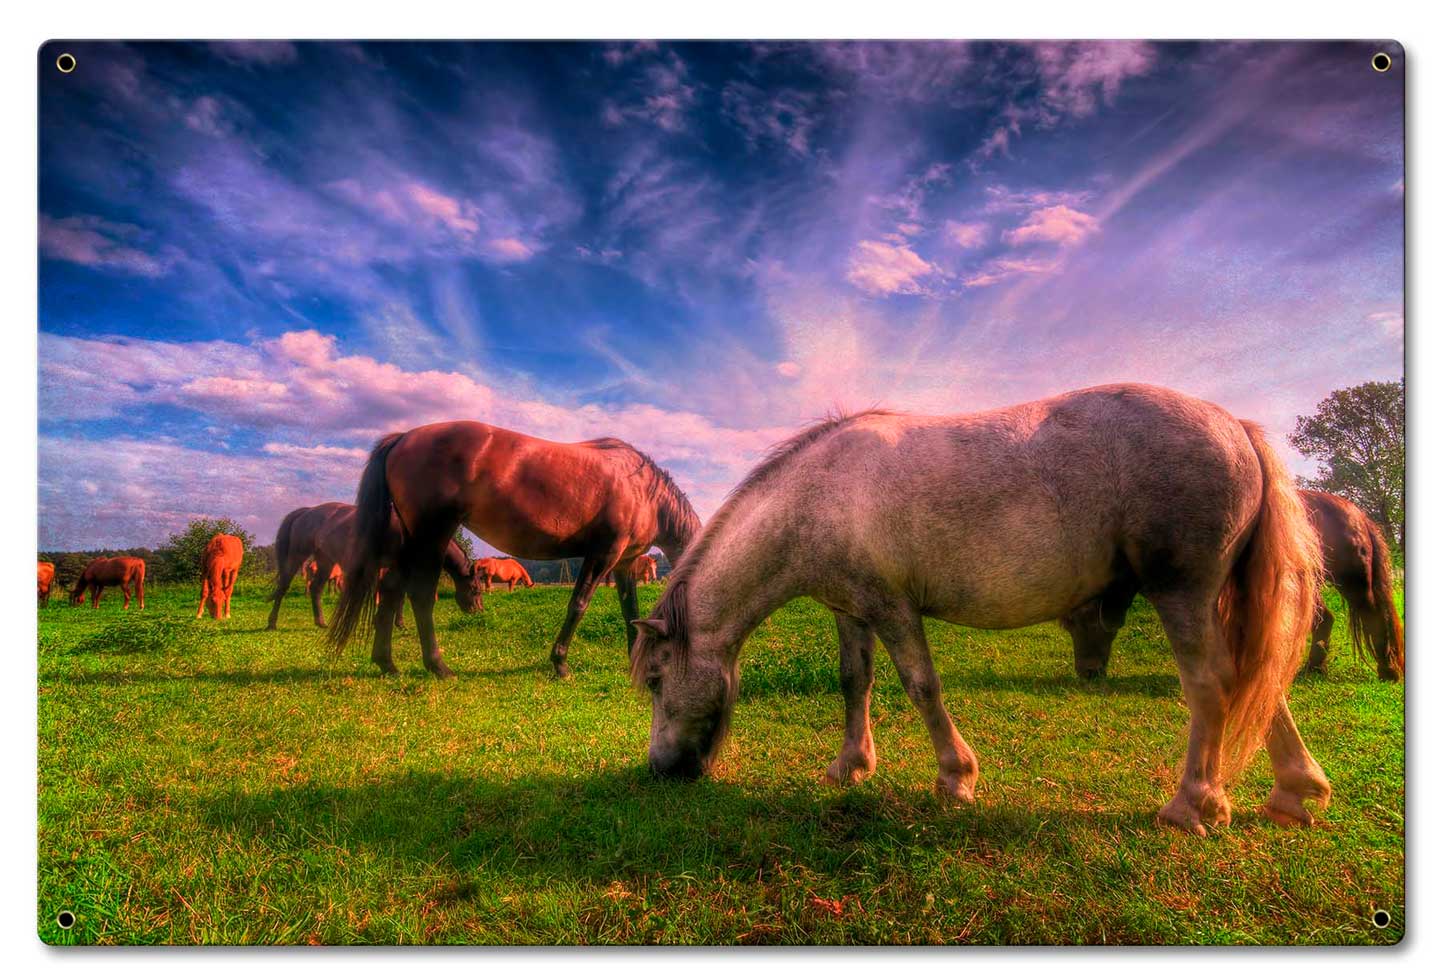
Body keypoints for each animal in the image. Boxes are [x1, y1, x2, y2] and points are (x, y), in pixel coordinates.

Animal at [329, 421, 701, 679]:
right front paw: (560, 663)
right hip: (431, 536)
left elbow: (630, 611)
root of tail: (403, 437)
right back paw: (438, 666)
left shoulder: (624, 563)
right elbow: (578, 604)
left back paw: (387, 663)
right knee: (420, 595)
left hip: (412, 541)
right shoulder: (603, 555)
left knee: (392, 589)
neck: (643, 491)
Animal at [629, 384, 1327, 835]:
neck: (818, 496)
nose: (661, 771)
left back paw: (1193, 806)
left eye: (657, 681)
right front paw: (850, 766)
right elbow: (855, 683)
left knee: (1212, 687)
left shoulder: (892, 606)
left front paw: (955, 779)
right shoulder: (850, 609)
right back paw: (1295, 792)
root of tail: (1236, 426)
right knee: (1255, 683)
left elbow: (921, 686)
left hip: (1182, 593)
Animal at [1062, 489, 1404, 682]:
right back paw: (1314, 668)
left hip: (1353, 583)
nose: (1086, 673)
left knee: (1373, 618)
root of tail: (1358, 515)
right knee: (1325, 619)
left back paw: (1387, 670)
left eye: (1079, 622)